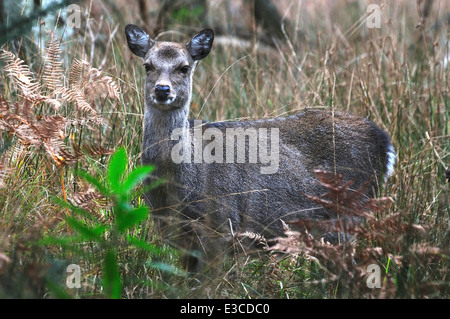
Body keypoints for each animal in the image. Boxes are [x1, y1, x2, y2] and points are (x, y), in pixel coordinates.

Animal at [124, 25, 394, 276]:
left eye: (184, 67)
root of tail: (385, 143)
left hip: (347, 216)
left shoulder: (221, 227)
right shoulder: (181, 240)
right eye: (148, 65)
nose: (162, 90)